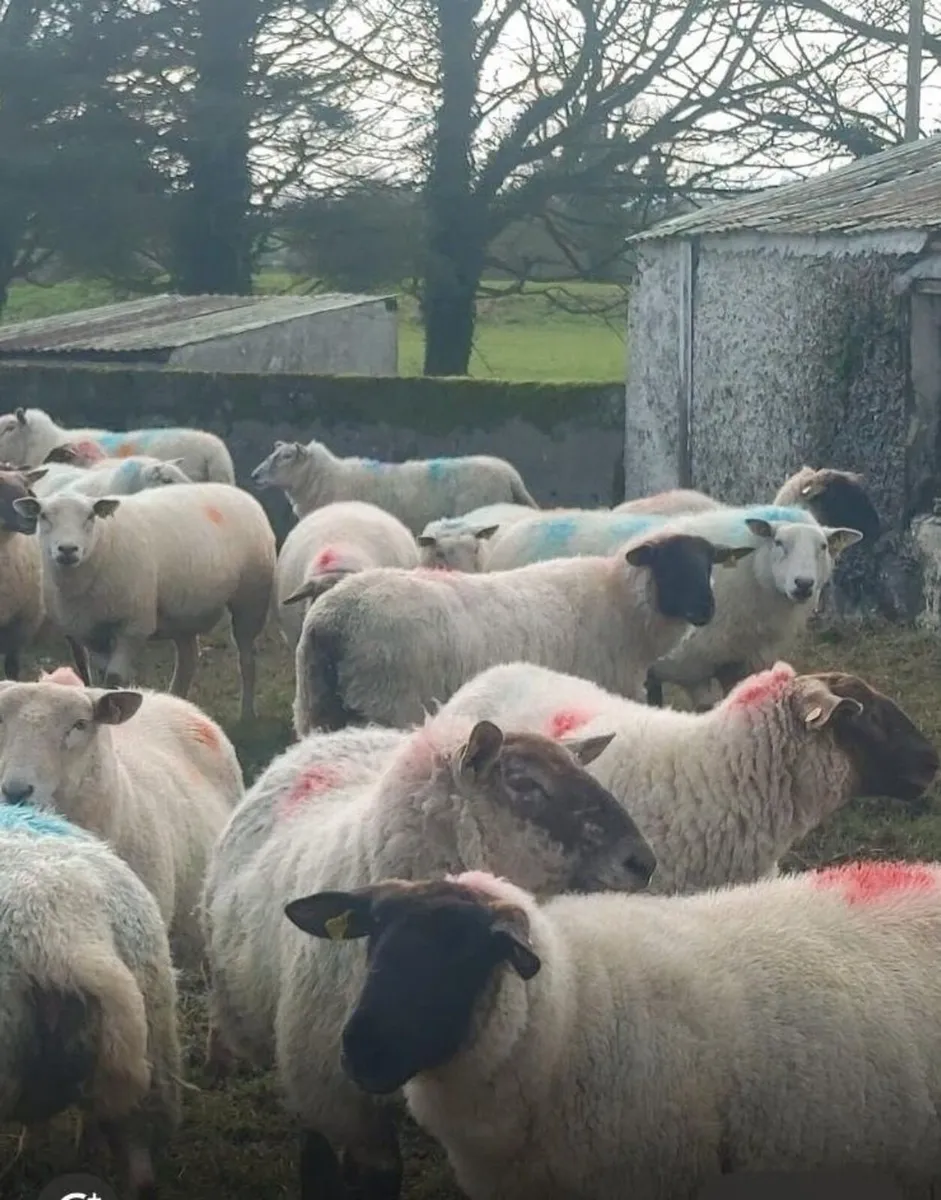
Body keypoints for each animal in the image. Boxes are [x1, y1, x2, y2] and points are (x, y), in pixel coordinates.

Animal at [16, 482, 276, 720]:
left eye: (90, 516)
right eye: (43, 516)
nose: (68, 549)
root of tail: (233, 488)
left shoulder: (133, 626)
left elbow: (115, 678)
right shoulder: (89, 632)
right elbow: (99, 677)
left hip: (250, 600)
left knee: (246, 658)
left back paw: (247, 714)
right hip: (183, 615)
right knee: (188, 660)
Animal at [292, 528, 754, 734]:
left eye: (708, 563)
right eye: (671, 564)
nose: (707, 609)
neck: (618, 604)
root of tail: (331, 622)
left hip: (318, 707)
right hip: (389, 704)